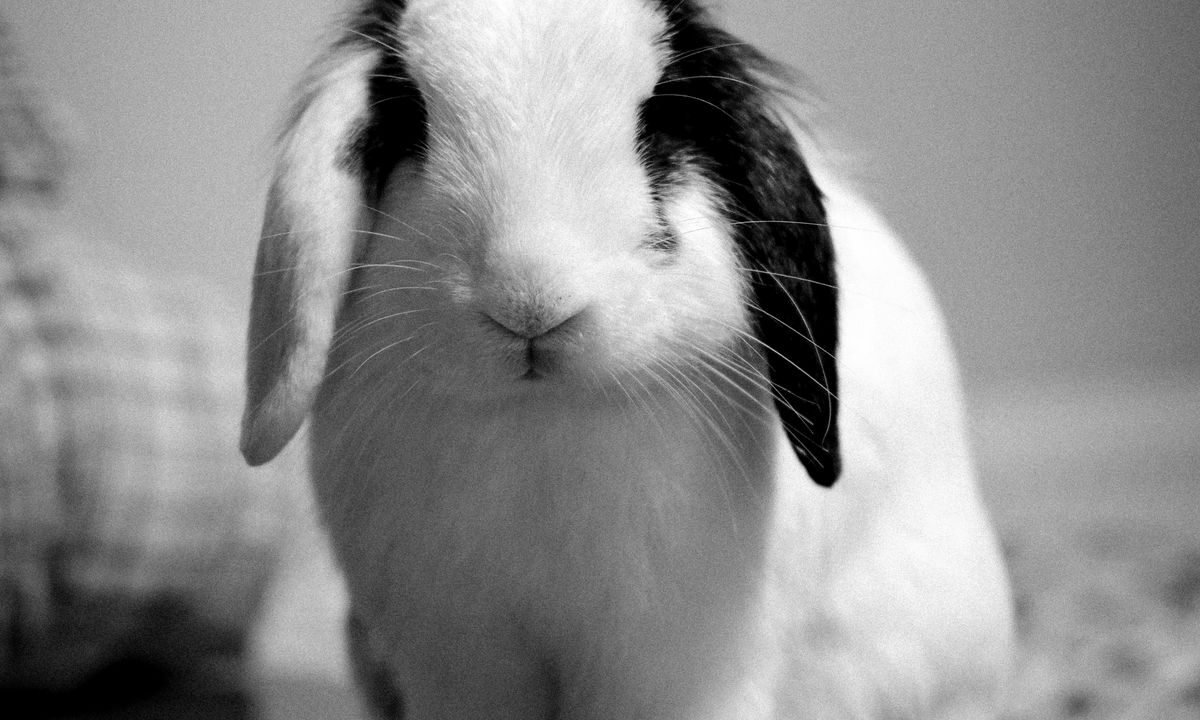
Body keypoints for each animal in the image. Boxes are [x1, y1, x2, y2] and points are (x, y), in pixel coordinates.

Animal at [241, 0, 1015, 718]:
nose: (530, 301)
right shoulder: (458, 660)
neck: (541, 418)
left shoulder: (671, 668)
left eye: (658, 128)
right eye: (413, 122)